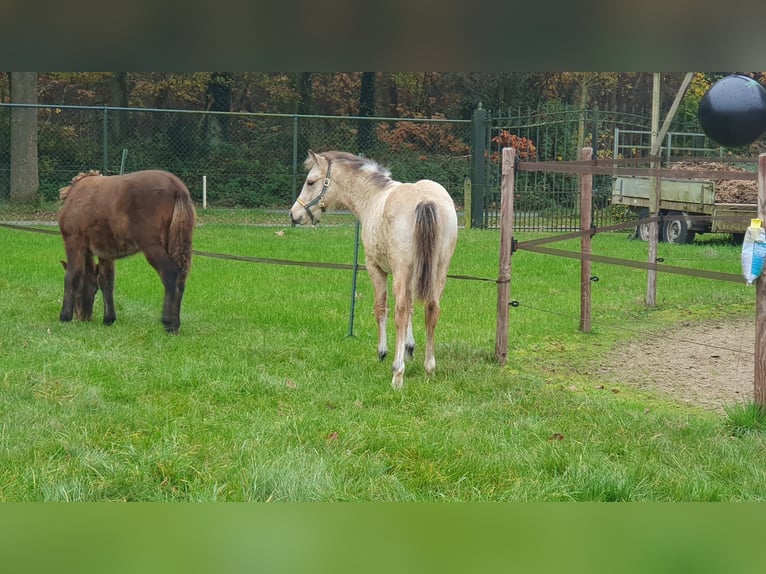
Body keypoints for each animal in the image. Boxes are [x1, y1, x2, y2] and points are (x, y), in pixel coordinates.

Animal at [60, 169, 198, 336]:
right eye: (94, 288)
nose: (84, 317)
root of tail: (176, 187)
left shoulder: (74, 241)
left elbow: (72, 277)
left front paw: (64, 317)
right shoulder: (105, 251)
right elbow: (107, 281)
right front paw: (108, 319)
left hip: (151, 244)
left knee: (170, 273)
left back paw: (168, 322)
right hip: (177, 241)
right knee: (181, 277)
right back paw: (176, 324)